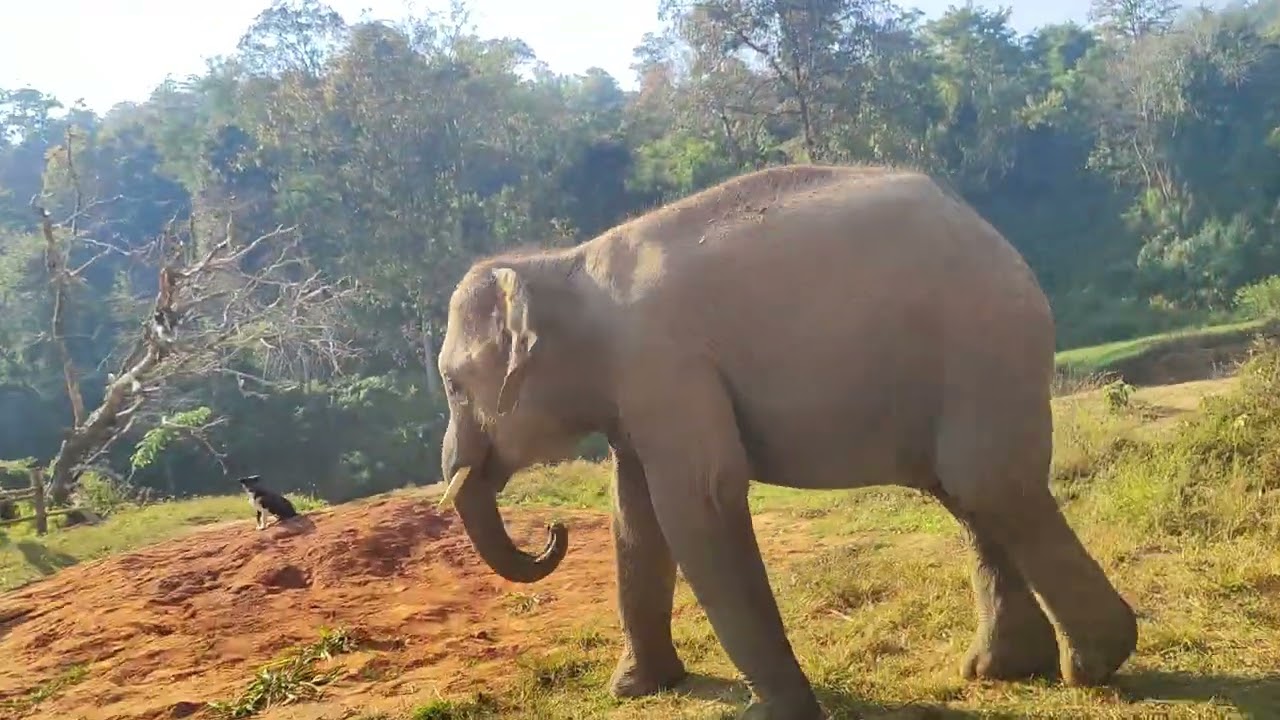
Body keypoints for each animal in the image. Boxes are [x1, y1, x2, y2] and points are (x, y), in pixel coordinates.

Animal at [435, 164, 1138, 720]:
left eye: (451, 384)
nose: (551, 531)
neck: (565, 263)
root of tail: (998, 238)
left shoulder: (666, 367)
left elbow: (700, 502)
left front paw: (771, 713)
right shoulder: (637, 396)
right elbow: (635, 515)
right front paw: (635, 690)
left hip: (982, 344)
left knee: (984, 483)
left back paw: (1095, 665)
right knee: (966, 494)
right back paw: (1002, 670)